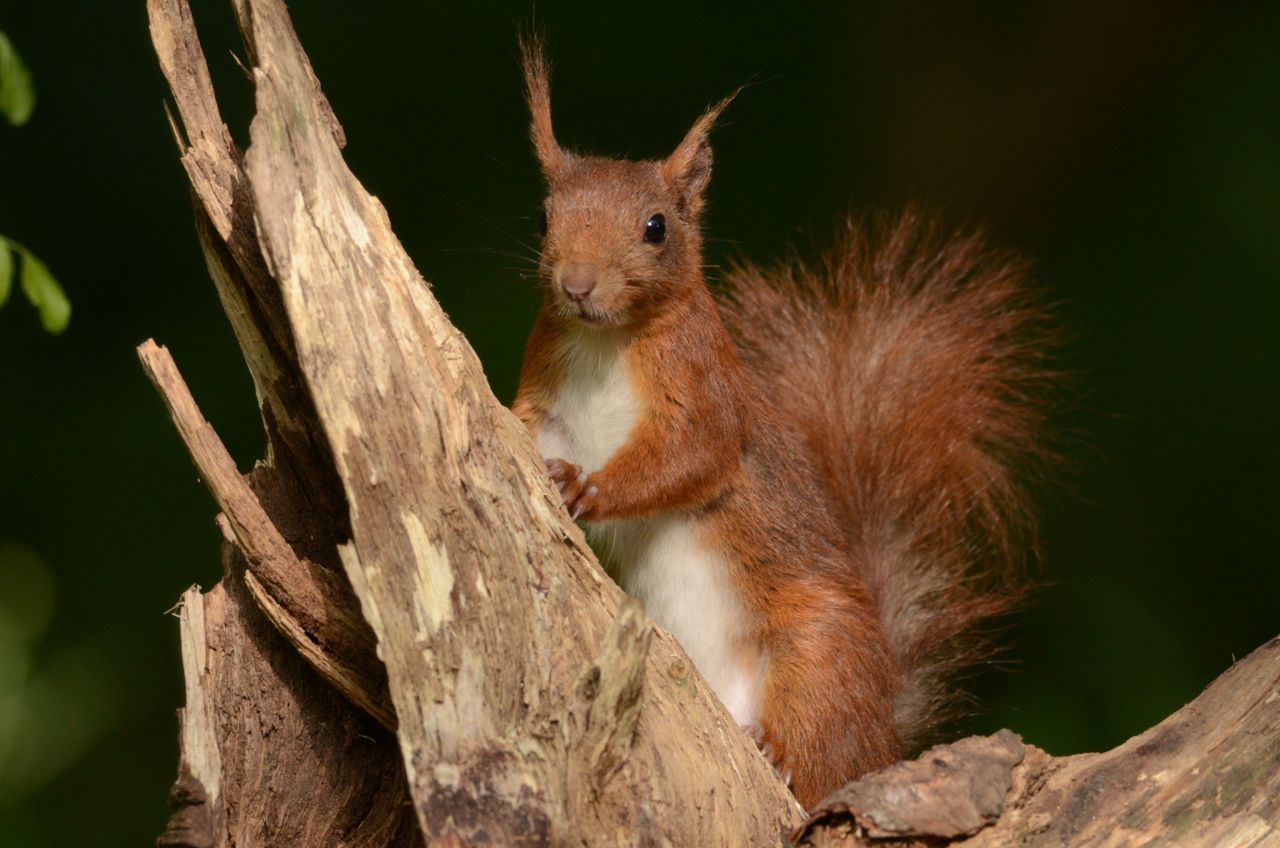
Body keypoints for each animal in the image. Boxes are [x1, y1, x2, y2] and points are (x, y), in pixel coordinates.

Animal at [512, 39, 1059, 809]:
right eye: (543, 216)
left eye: (656, 227)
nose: (577, 284)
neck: (604, 341)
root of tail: (884, 741)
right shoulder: (548, 390)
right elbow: (526, 424)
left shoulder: (706, 391)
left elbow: (692, 457)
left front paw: (590, 490)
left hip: (817, 657)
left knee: (822, 751)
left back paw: (778, 751)